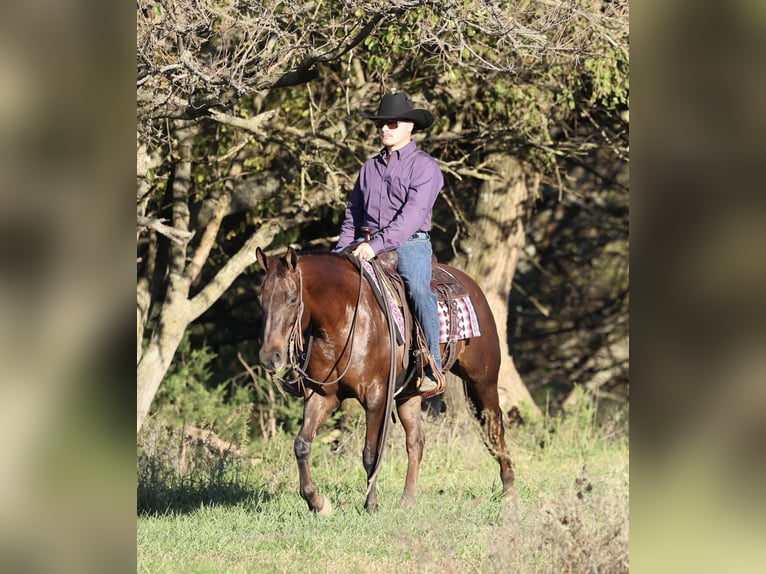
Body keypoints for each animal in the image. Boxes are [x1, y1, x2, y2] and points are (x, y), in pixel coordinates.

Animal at [255, 246, 515, 514]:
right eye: (260, 300)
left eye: (292, 299)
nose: (269, 357)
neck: (345, 320)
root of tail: (471, 284)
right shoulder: (323, 396)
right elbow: (302, 445)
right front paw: (317, 502)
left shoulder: (376, 397)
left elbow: (371, 453)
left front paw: (371, 505)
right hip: (410, 395)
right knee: (416, 441)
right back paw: (407, 499)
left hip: (482, 380)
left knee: (495, 428)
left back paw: (508, 491)